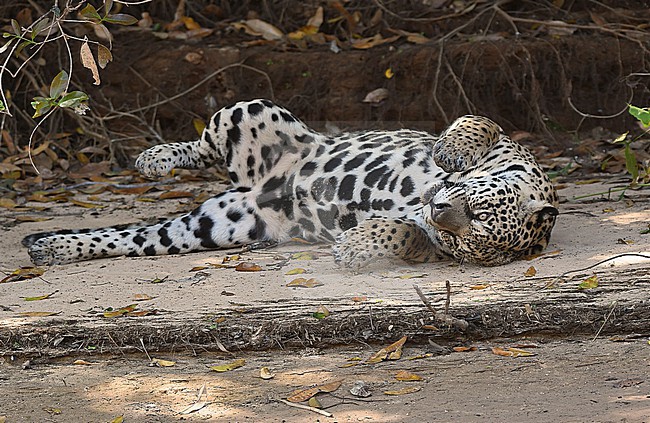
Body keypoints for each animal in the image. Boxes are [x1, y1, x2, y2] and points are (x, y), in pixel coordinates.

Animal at [23, 99, 559, 269]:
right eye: (478, 209)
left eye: (469, 240)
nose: (442, 213)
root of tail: (259, 185)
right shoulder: (509, 147)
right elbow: (480, 122)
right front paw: (450, 153)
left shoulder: (426, 237)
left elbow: (407, 234)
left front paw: (356, 246)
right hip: (250, 114)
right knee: (204, 144)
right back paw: (155, 159)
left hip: (218, 224)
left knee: (132, 238)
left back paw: (50, 246)